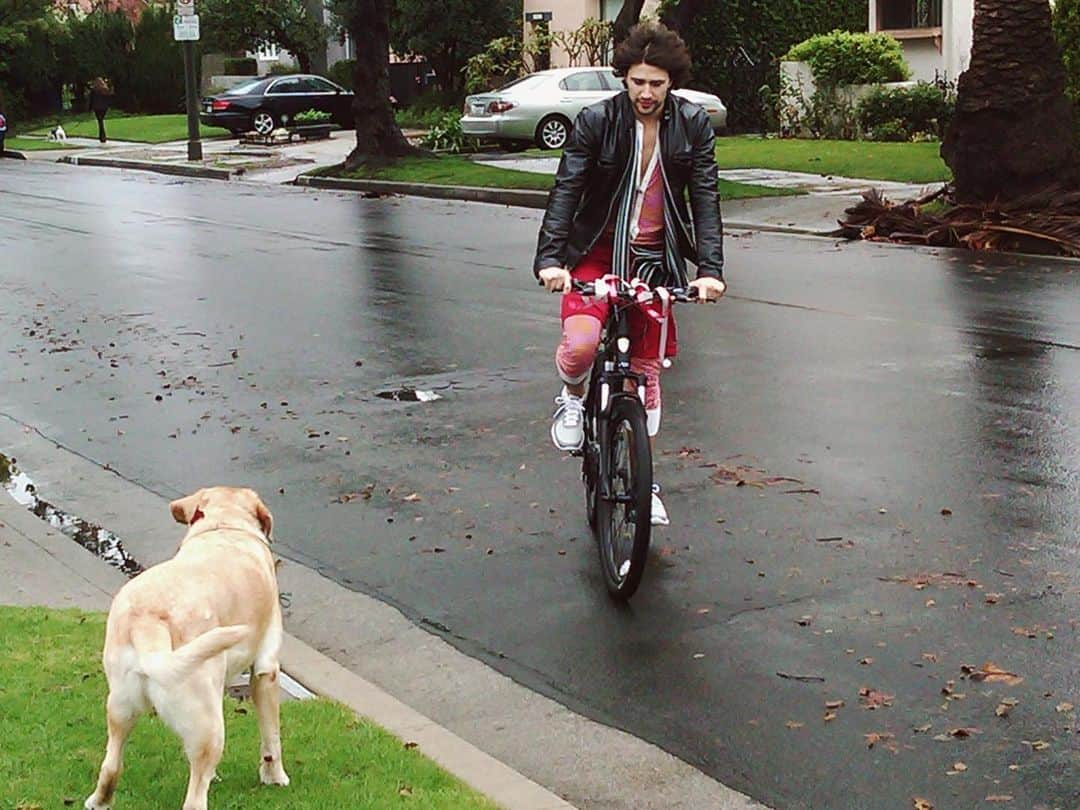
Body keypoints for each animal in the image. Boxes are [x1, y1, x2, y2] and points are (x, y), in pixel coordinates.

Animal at [84, 488, 289, 810]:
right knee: (194, 798)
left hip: (120, 708)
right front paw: (275, 777)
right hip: (209, 728)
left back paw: (99, 800)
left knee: (111, 765)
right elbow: (272, 736)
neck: (225, 526)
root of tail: (149, 620)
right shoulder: (266, 669)